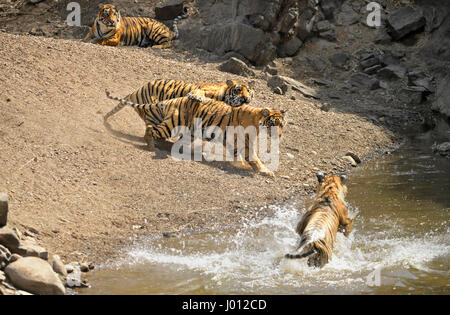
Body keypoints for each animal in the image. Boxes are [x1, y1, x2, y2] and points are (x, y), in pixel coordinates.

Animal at [103, 79, 255, 122]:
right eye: (238, 90)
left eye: (249, 91)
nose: (246, 98)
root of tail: (138, 89)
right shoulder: (201, 88)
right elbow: (198, 93)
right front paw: (197, 97)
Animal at [105, 91, 284, 178]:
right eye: (273, 124)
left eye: (282, 124)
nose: (280, 135)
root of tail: (172, 100)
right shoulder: (243, 142)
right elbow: (254, 158)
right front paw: (265, 171)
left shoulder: (235, 141)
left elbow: (239, 155)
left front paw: (243, 165)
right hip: (172, 125)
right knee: (151, 130)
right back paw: (152, 147)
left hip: (189, 131)